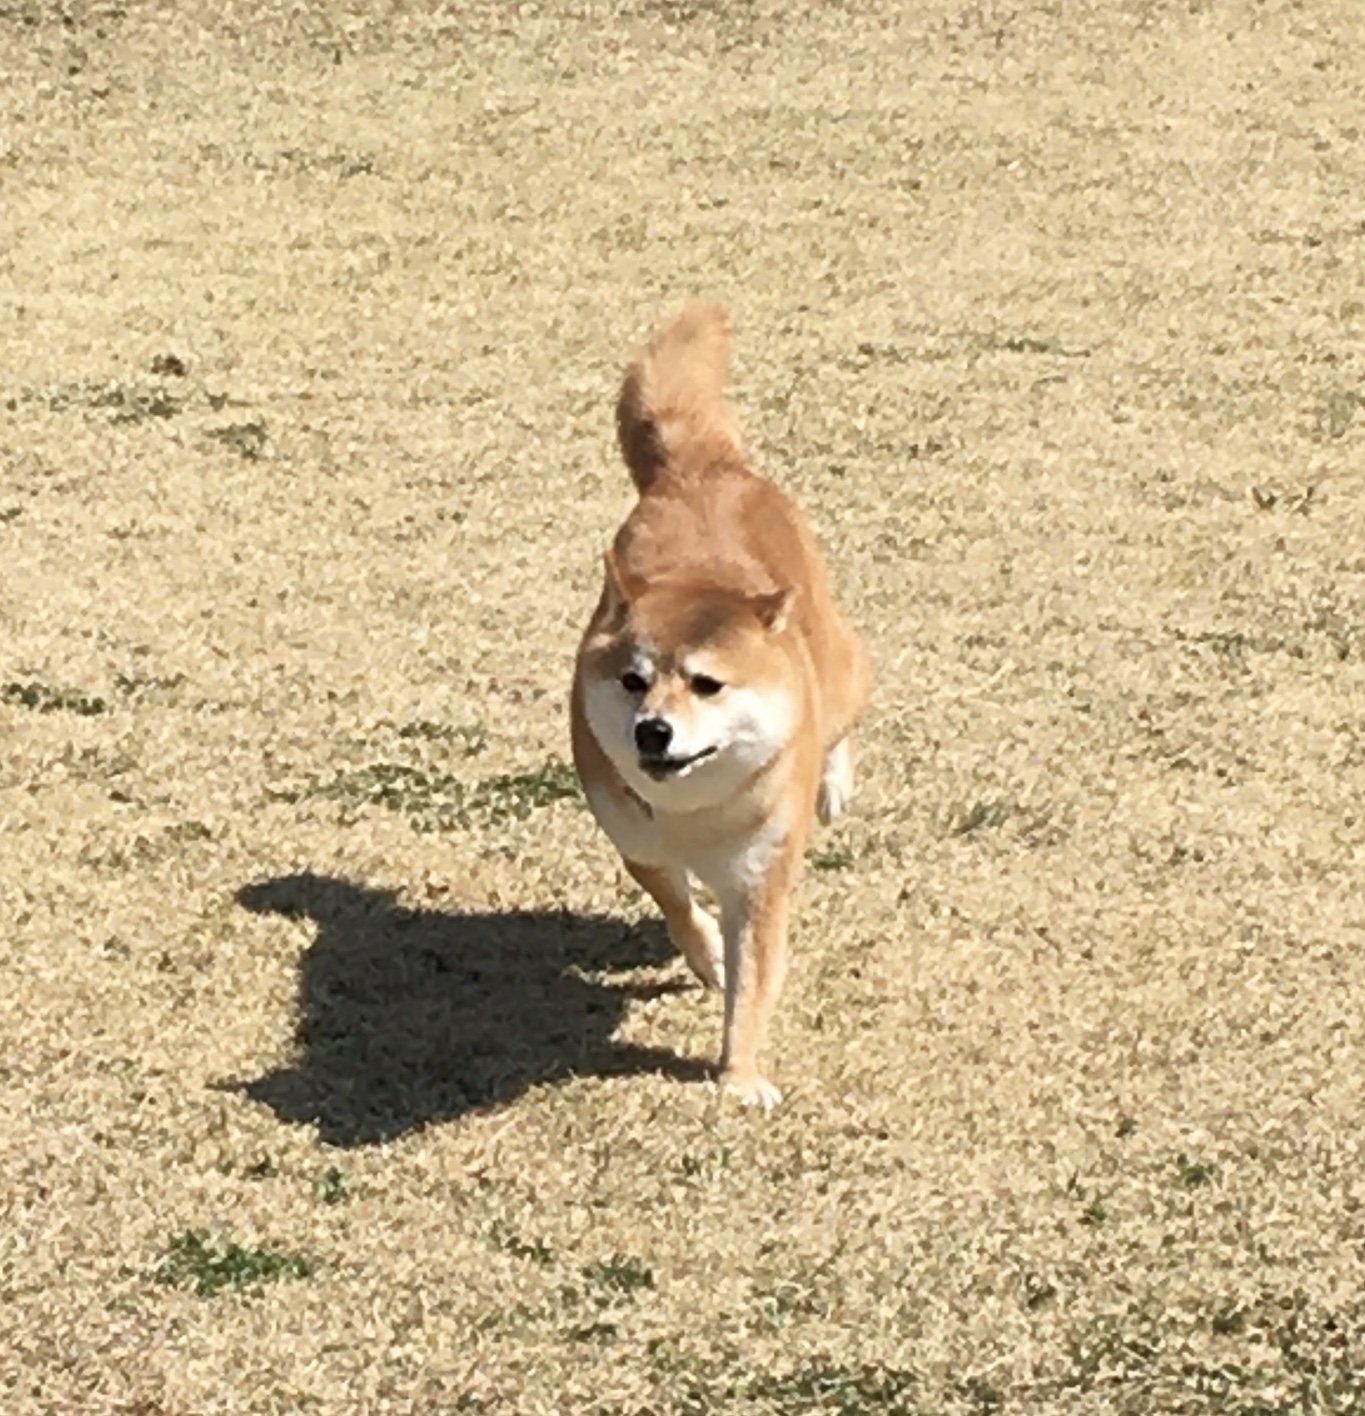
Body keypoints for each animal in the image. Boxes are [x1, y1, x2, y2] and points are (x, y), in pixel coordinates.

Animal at [570, 304, 871, 1107]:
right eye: (632, 682)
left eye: (708, 685)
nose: (652, 732)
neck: (697, 810)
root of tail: (701, 464)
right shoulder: (636, 841)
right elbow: (678, 908)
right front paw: (704, 957)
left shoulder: (762, 881)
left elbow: (753, 984)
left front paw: (739, 1078)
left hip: (842, 673)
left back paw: (834, 782)